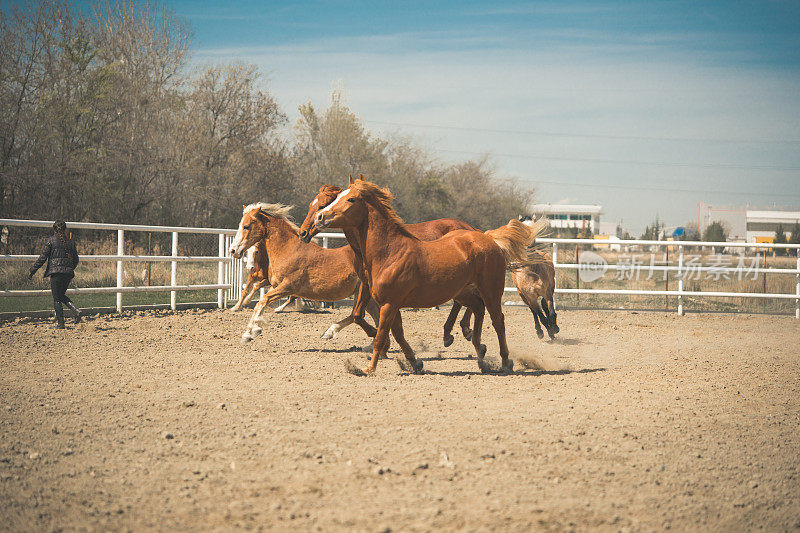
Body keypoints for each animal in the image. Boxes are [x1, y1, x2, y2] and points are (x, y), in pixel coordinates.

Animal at [228, 202, 378, 342]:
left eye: (246, 226)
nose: (233, 250)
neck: (287, 249)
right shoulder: (276, 286)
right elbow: (258, 295)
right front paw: (249, 329)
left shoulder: (287, 286)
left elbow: (263, 300)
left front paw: (252, 331)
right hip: (366, 296)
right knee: (369, 317)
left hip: (363, 293)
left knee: (359, 315)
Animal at [298, 181, 476, 342]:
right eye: (312, 204)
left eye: (322, 205)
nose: (303, 232)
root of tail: (471, 229)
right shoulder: (366, 283)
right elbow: (357, 314)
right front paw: (332, 331)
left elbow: (362, 314)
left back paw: (464, 330)